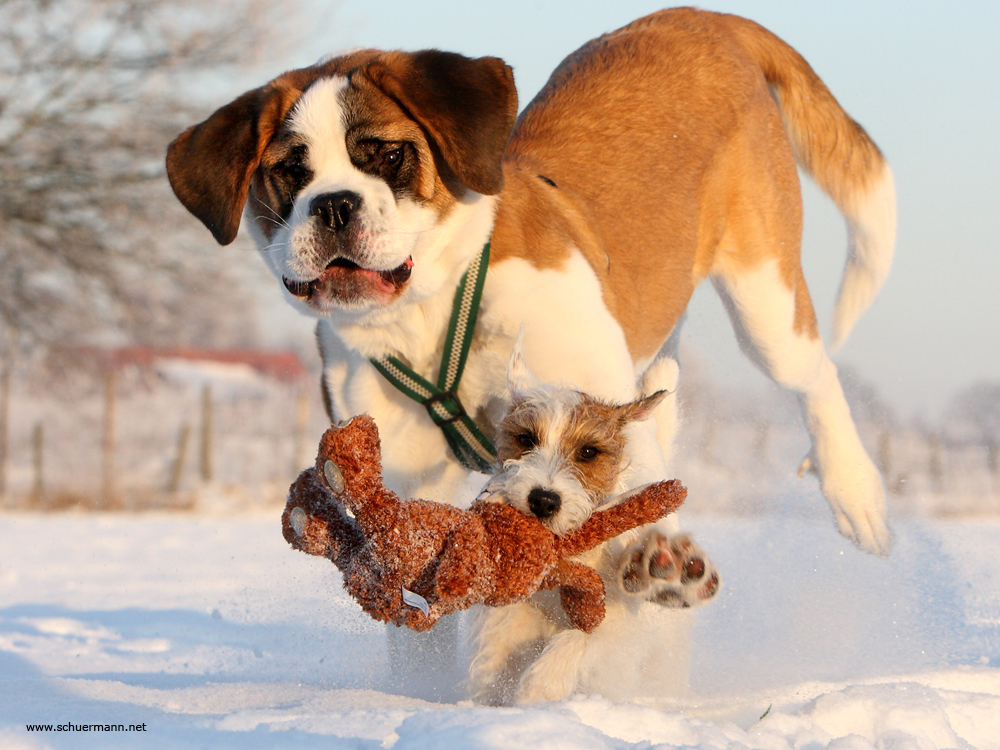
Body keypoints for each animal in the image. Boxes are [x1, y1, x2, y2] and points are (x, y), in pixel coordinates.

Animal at [168, 4, 896, 700]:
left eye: (387, 156)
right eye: (289, 171)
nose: (334, 205)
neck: (431, 314)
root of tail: (704, 19)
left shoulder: (595, 410)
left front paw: (650, 571)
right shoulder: (407, 468)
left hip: (763, 294)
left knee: (813, 376)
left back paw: (854, 493)